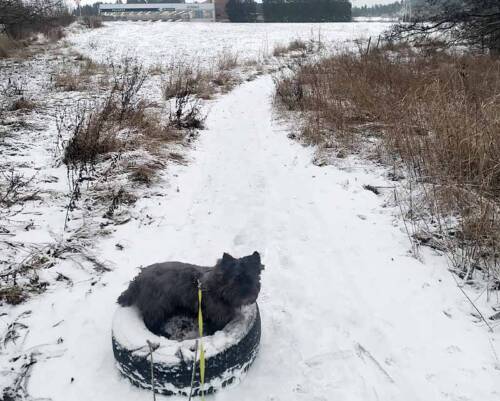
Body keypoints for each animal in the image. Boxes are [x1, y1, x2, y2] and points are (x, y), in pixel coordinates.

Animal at [117, 250, 264, 334]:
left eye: (252, 279)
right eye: (235, 279)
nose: (248, 295)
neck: (218, 288)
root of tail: (138, 279)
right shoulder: (218, 317)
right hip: (157, 306)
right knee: (150, 323)